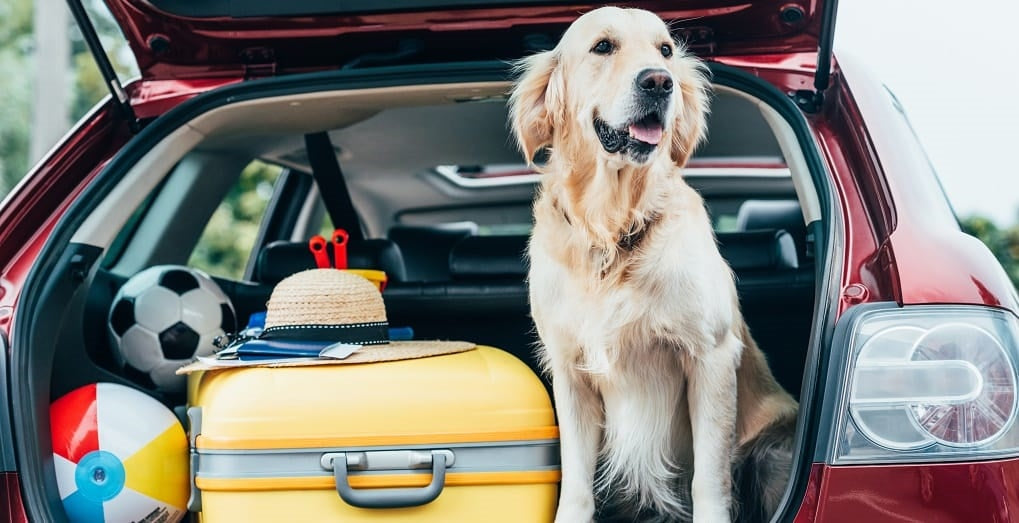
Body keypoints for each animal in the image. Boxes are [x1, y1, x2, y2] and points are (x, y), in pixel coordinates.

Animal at [513, 6, 798, 519]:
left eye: (665, 50)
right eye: (603, 46)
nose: (659, 82)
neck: (612, 231)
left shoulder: (710, 357)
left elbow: (709, 478)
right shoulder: (570, 371)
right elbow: (577, 482)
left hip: (774, 450)